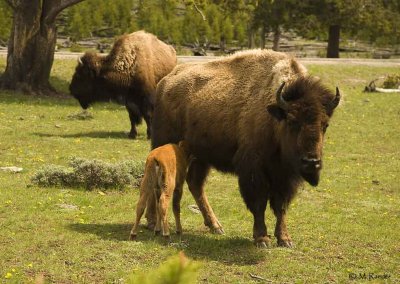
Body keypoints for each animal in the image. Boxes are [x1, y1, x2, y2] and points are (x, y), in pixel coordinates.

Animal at [150, 50, 340, 247]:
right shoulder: (254, 171)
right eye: (292, 121)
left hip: (200, 156)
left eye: (325, 125)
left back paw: (216, 226)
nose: (312, 162)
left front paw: (285, 239)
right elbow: (259, 203)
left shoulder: (284, 176)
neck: (274, 117)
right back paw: (151, 223)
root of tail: (165, 82)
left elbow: (280, 206)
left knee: (195, 184)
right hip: (165, 146)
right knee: (155, 181)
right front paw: (262, 238)